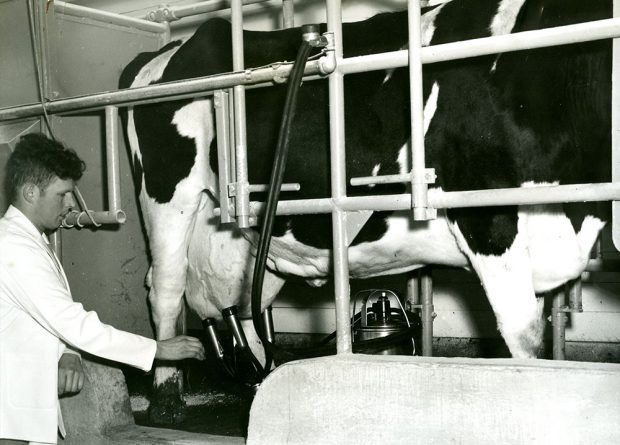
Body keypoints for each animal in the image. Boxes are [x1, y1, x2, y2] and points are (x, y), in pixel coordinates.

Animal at [121, 0, 612, 420]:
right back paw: (167, 393)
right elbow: (523, 334)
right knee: (166, 287)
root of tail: (163, 51)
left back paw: (260, 384)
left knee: (245, 302)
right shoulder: (487, 218)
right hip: (169, 194)